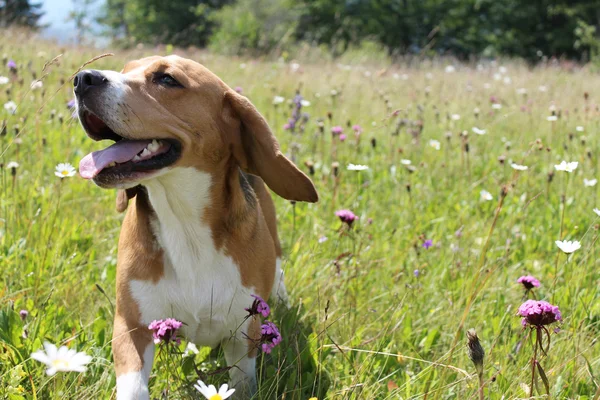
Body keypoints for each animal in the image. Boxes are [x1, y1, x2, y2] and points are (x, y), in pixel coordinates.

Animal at [74, 57, 318, 400]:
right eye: (125, 68)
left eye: (167, 79)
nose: (82, 78)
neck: (184, 222)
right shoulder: (132, 327)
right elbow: (133, 387)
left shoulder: (243, 334)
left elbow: (241, 383)